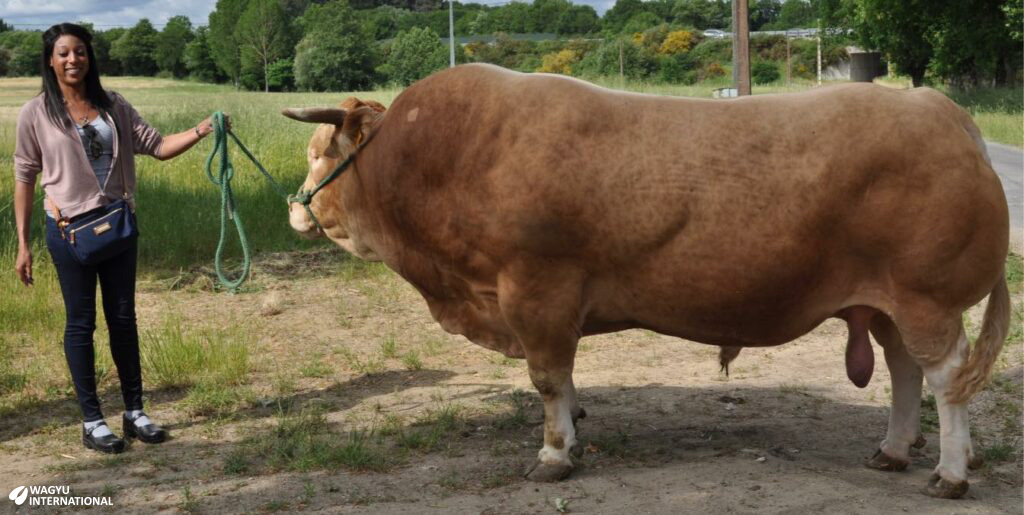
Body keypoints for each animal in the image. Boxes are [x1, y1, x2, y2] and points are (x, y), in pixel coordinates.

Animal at [278, 64, 1007, 499]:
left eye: (316, 155)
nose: (294, 207)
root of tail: (941, 109)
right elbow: (565, 379)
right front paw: (574, 425)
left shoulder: (535, 289)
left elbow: (547, 377)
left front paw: (555, 454)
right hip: (886, 302)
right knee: (905, 370)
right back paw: (892, 450)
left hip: (926, 297)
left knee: (946, 379)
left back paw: (948, 471)